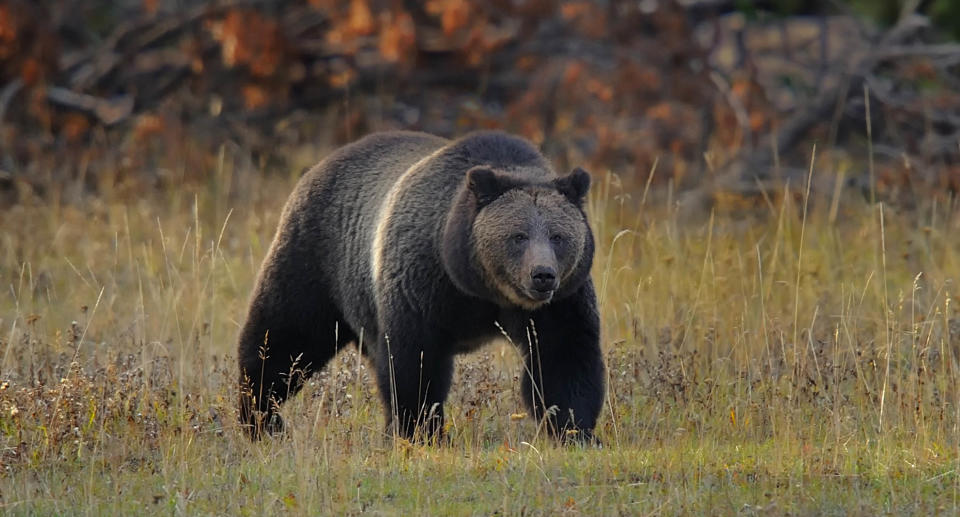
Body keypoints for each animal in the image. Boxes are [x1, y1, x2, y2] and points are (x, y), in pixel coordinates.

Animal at [237, 131, 604, 442]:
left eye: (558, 236)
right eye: (518, 236)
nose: (542, 275)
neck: (481, 288)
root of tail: (317, 166)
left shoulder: (561, 302)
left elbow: (563, 358)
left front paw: (576, 430)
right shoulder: (422, 283)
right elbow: (415, 362)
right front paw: (420, 431)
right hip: (316, 262)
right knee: (282, 339)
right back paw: (261, 419)